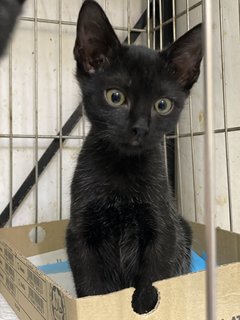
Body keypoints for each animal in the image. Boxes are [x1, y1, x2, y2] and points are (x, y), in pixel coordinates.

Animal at [66, 0, 202, 314]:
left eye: (162, 105)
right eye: (115, 96)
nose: (140, 127)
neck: (121, 169)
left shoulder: (163, 230)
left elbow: (152, 285)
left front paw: (145, 309)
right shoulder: (79, 233)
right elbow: (91, 289)